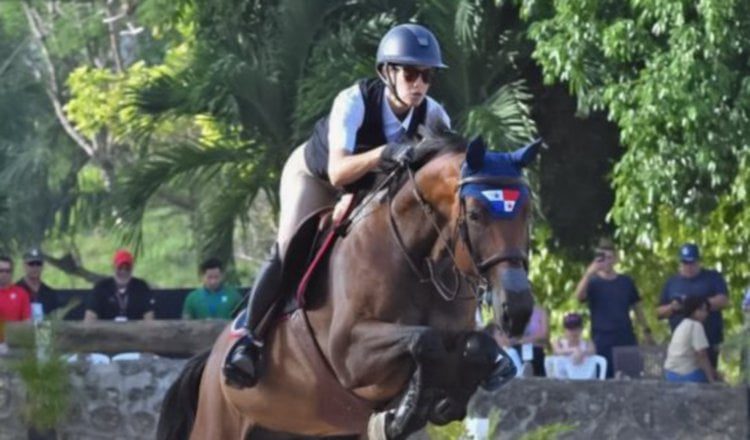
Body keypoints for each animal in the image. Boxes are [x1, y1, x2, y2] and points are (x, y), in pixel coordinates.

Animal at [157, 126, 539, 440]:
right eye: (475, 214)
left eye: (527, 212)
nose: (517, 309)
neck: (417, 262)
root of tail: (210, 360)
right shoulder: (349, 353)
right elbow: (424, 340)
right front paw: (404, 412)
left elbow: (477, 345)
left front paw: (443, 401)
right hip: (218, 423)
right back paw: (243, 356)